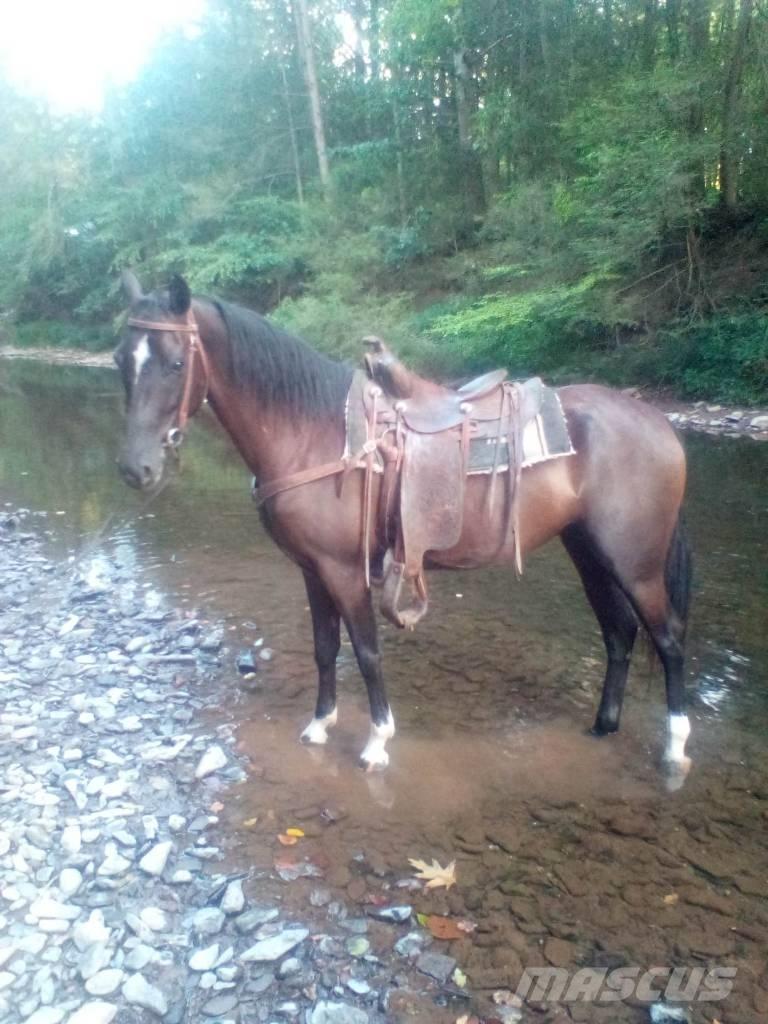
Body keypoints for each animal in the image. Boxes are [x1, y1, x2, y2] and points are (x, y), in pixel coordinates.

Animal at [114, 272, 692, 780]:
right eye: (121, 358)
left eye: (175, 362)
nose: (135, 469)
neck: (316, 434)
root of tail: (659, 424)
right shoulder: (312, 570)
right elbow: (325, 648)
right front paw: (319, 725)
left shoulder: (345, 571)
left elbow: (367, 653)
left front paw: (376, 743)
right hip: (589, 552)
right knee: (619, 633)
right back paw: (603, 726)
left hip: (635, 564)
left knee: (667, 638)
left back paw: (675, 746)